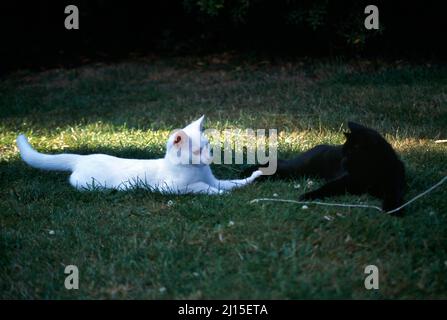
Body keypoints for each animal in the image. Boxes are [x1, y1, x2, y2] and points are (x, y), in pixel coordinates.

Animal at [15, 116, 262, 194]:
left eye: (208, 146)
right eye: (196, 151)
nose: (210, 158)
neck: (197, 170)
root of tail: (83, 157)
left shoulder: (215, 179)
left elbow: (231, 183)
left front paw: (251, 178)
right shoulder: (169, 188)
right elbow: (201, 187)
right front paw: (219, 195)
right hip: (87, 184)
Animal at [247, 122, 408, 215]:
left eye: (350, 153)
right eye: (343, 153)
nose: (343, 162)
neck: (371, 173)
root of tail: (319, 146)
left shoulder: (394, 184)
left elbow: (394, 196)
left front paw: (393, 209)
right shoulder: (344, 181)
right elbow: (326, 188)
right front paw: (308, 196)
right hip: (297, 169)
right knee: (278, 165)